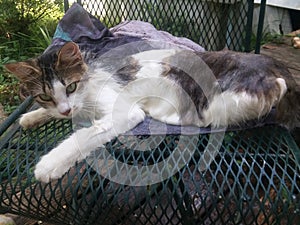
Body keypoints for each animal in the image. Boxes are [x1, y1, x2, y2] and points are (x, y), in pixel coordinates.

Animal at [3, 41, 298, 183]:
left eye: (71, 86)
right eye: (45, 96)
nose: (65, 110)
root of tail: (276, 65)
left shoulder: (125, 112)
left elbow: (83, 136)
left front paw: (49, 165)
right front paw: (31, 117)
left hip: (220, 97)